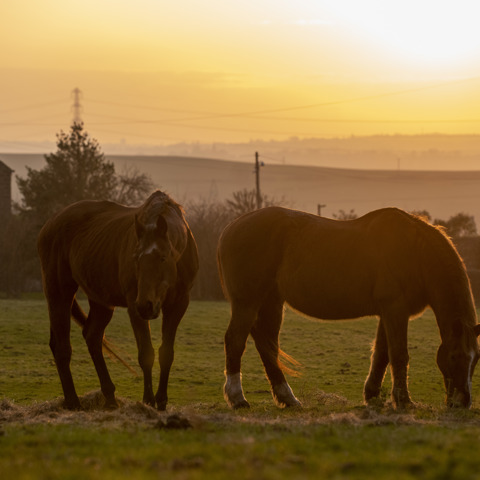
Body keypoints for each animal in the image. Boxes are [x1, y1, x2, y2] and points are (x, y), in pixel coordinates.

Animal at [37, 190, 199, 408]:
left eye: (163, 258)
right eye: (136, 258)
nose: (146, 306)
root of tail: (50, 223)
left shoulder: (178, 304)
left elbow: (166, 353)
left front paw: (161, 401)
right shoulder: (134, 306)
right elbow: (146, 354)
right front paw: (148, 401)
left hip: (101, 301)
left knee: (92, 337)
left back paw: (110, 397)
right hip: (59, 292)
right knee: (61, 346)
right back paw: (73, 402)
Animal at [218, 205, 480, 408]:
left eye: (475, 358)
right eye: (454, 356)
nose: (463, 402)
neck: (415, 252)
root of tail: (229, 229)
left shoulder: (389, 312)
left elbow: (382, 354)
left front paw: (372, 395)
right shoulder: (395, 310)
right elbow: (399, 354)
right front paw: (404, 401)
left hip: (272, 302)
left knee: (267, 345)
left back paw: (287, 398)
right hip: (247, 303)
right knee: (235, 341)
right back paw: (238, 399)